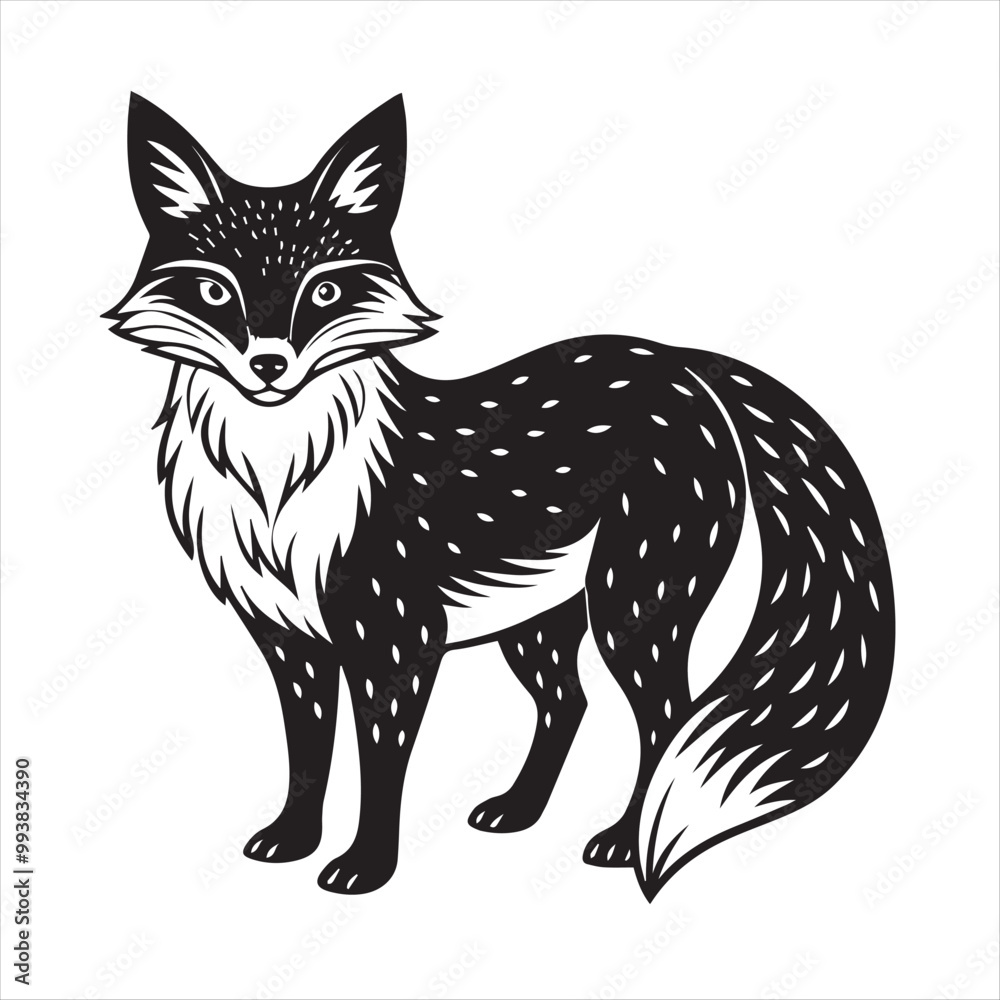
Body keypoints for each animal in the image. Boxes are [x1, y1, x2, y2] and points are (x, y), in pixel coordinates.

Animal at [105, 94, 894, 901]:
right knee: (569, 703)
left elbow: (379, 766)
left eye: (324, 291)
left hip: (630, 609)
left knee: (668, 718)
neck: (277, 483)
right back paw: (519, 810)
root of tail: (683, 363)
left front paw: (365, 866)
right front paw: (292, 840)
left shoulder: (398, 640)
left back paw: (620, 840)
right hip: (538, 622)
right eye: (214, 290)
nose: (269, 366)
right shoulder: (291, 641)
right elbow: (307, 754)